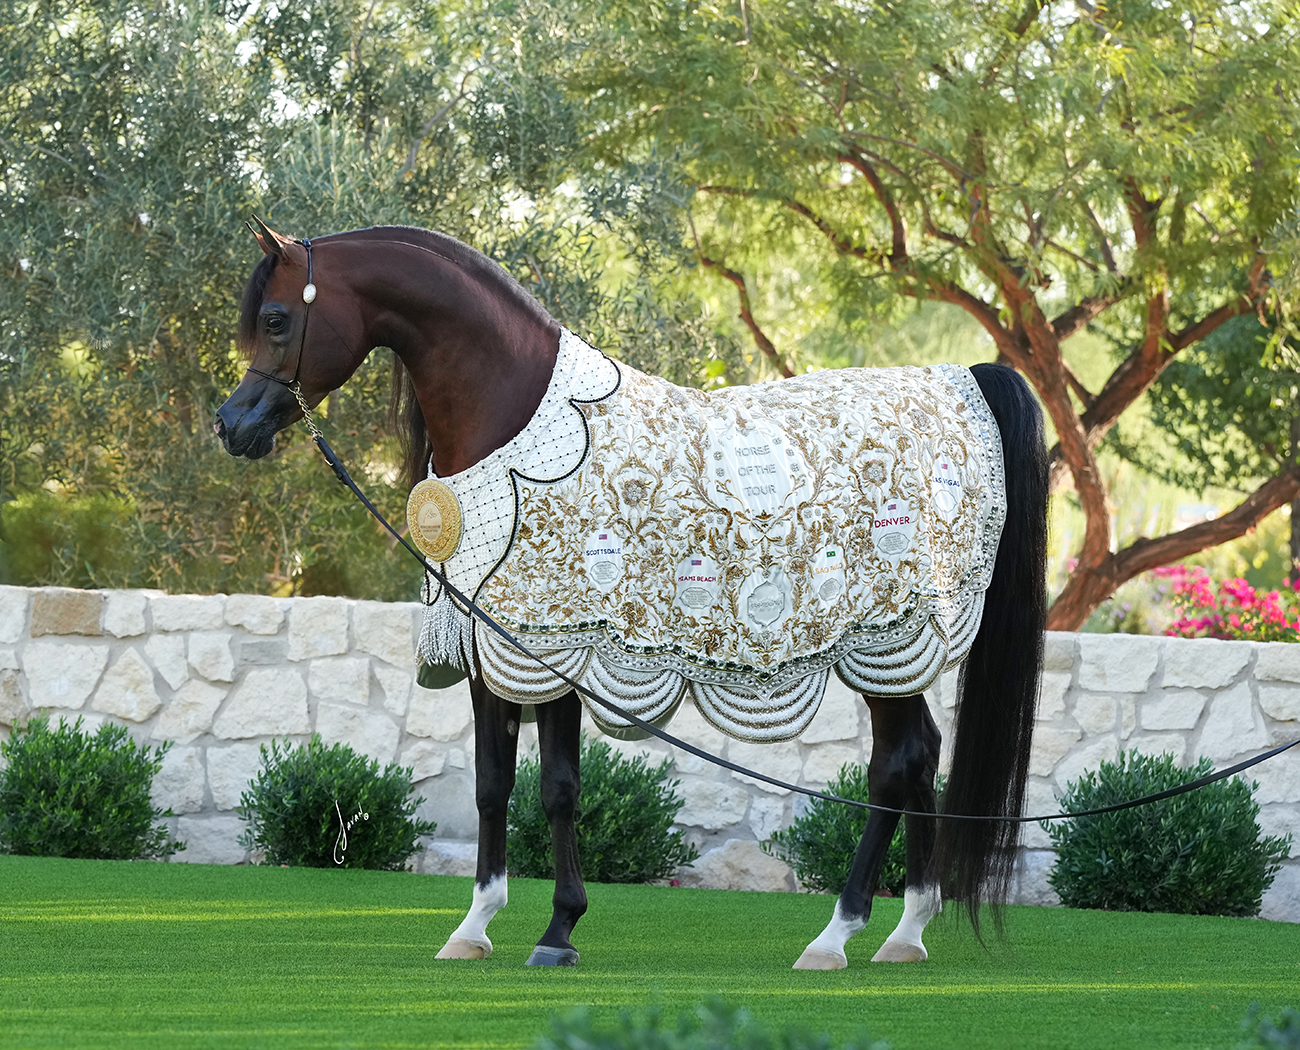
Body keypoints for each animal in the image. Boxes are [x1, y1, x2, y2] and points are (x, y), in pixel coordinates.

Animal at [215, 219, 1048, 970]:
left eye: (276, 318)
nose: (232, 425)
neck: (516, 426)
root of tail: (961, 381)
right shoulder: (492, 648)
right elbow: (491, 785)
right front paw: (474, 926)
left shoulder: (554, 648)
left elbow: (556, 788)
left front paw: (559, 930)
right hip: (895, 653)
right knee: (920, 756)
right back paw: (907, 932)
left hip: (884, 636)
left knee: (897, 764)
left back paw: (835, 936)